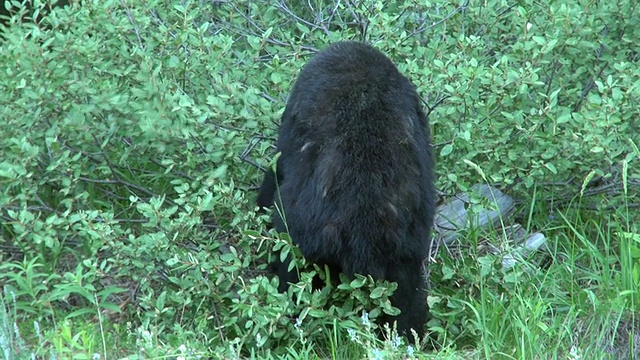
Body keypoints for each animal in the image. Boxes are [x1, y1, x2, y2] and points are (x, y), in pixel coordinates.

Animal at [258, 40, 438, 342]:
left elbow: (272, 174)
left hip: (303, 234)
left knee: (293, 274)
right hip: (405, 242)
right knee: (407, 293)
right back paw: (409, 333)